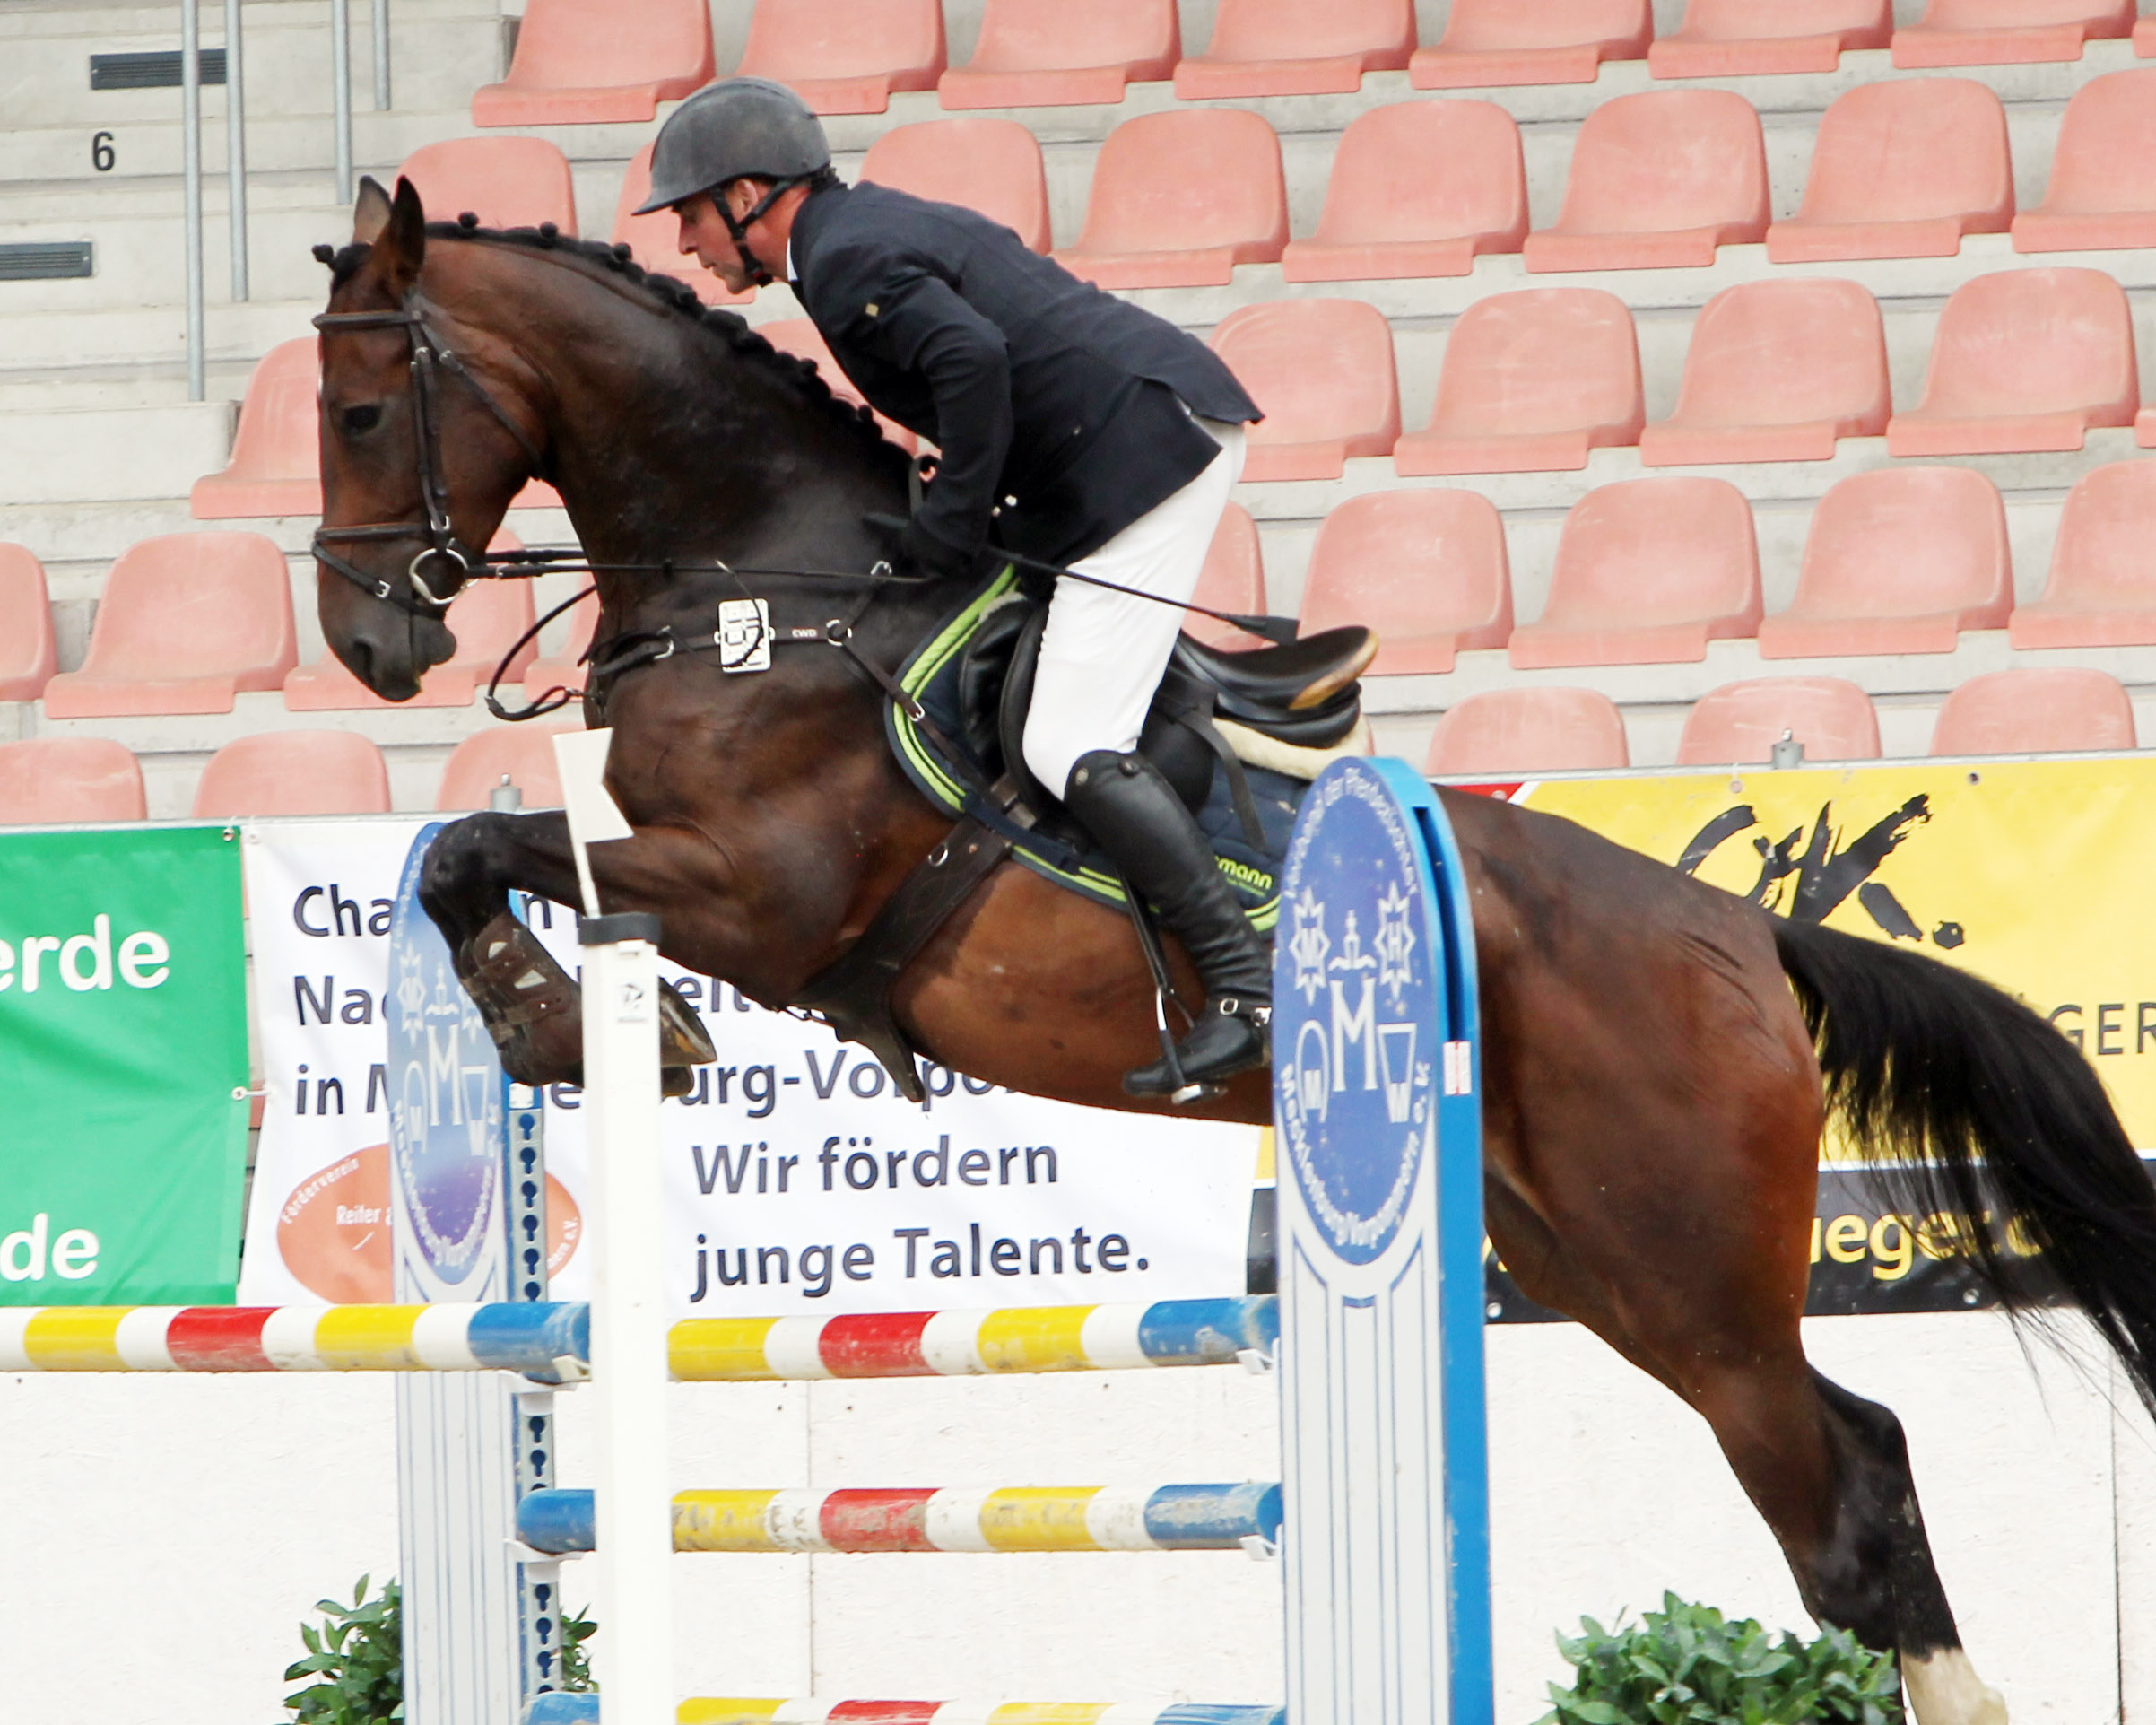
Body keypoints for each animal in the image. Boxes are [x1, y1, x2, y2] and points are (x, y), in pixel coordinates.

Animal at [312, 179, 2156, 1725]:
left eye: (356, 412)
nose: (363, 642)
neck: (763, 580)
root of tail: (1741, 929)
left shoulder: (758, 893)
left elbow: (475, 848)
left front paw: (560, 1023)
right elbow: (465, 855)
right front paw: (560, 1020)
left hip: (1687, 1260)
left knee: (1845, 1493)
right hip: (1593, 1257)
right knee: (1850, 1460)